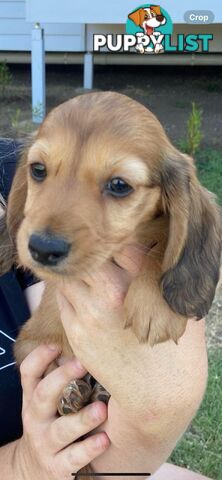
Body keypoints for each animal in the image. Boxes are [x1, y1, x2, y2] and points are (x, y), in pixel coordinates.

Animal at [0, 93, 221, 476]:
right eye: (38, 169)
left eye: (119, 185)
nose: (42, 248)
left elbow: (163, 242)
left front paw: (156, 305)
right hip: (30, 346)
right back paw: (73, 394)